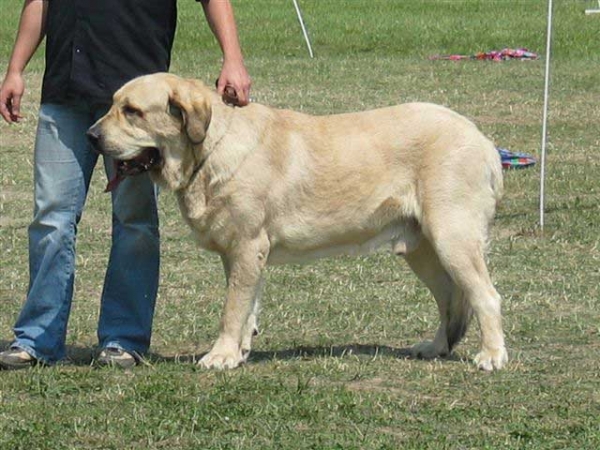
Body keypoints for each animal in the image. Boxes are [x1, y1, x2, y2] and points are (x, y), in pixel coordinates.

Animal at [88, 72, 506, 370]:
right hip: (421, 248)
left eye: (132, 111)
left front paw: (220, 356)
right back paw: (434, 347)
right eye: (112, 104)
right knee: (450, 299)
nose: (91, 135)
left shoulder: (247, 246)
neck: (210, 147)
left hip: (452, 237)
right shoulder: (241, 254)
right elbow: (248, 306)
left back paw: (491, 356)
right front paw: (240, 351)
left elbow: (232, 309)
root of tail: (483, 140)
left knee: (485, 296)